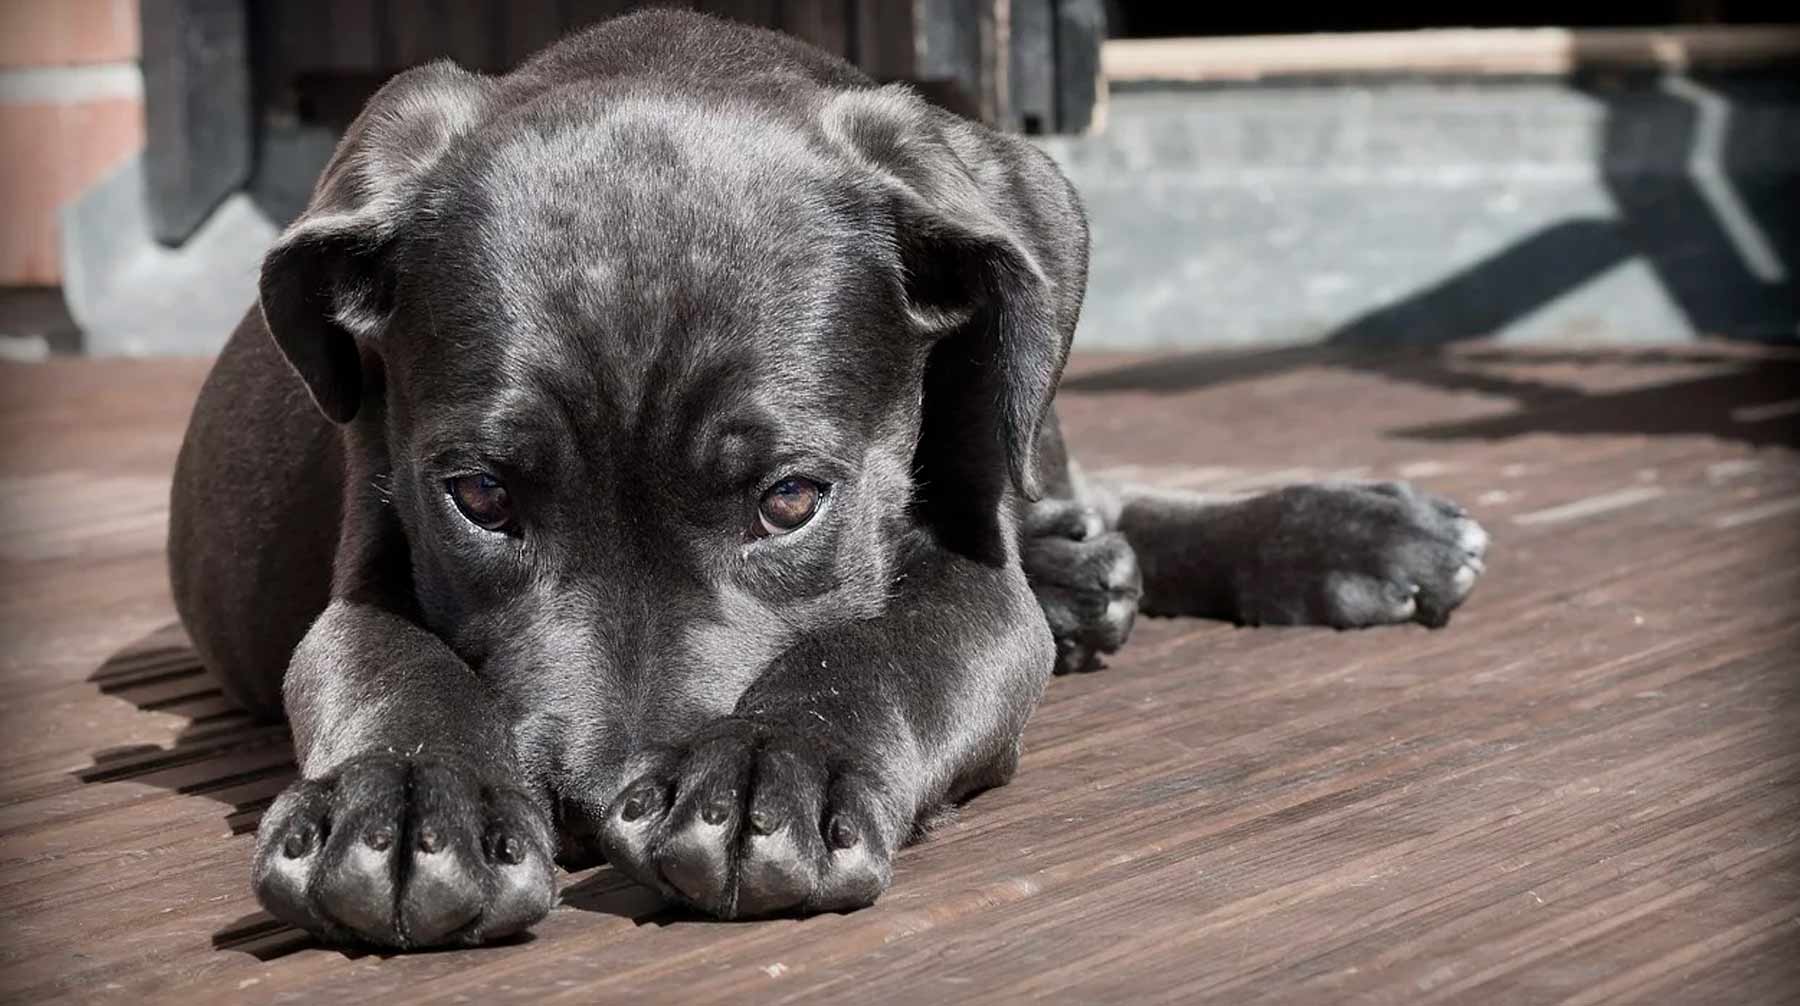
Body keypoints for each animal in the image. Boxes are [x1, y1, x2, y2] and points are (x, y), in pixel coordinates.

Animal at [169, 9, 1490, 950]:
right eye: (481, 499)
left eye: (792, 500)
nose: (594, 806)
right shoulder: (368, 554)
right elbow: (387, 661)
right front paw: (403, 802)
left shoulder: (972, 584)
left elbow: (884, 646)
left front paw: (773, 767)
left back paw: (1342, 534)